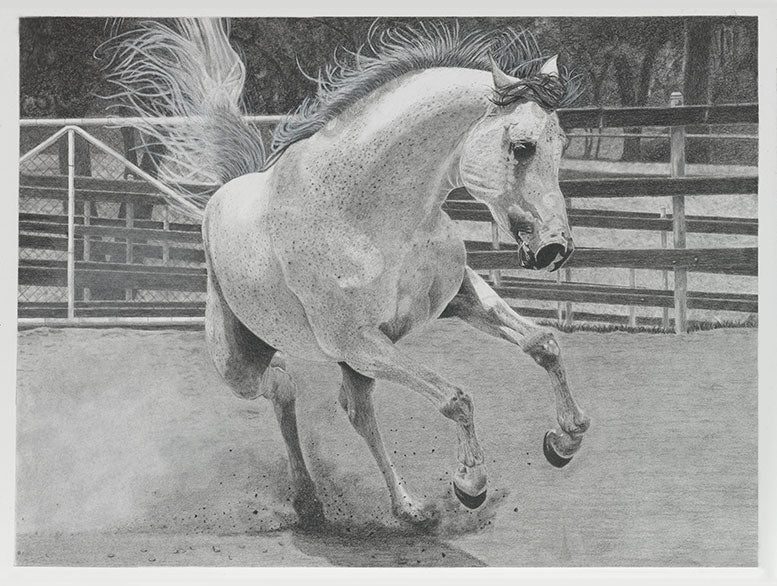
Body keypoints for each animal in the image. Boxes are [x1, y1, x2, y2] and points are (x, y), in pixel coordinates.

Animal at [106, 18, 591, 529]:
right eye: (522, 147)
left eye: (562, 145)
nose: (555, 249)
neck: (368, 214)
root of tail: (223, 193)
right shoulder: (356, 341)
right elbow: (455, 397)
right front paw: (470, 484)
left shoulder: (457, 297)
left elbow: (543, 343)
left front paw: (566, 440)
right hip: (239, 364)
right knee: (283, 386)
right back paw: (313, 500)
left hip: (349, 364)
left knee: (353, 411)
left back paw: (401, 506)